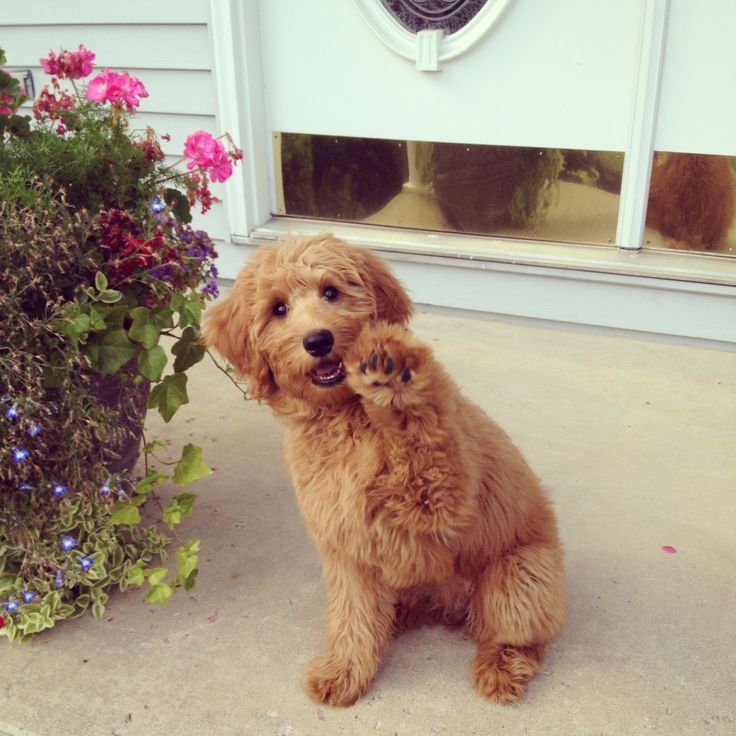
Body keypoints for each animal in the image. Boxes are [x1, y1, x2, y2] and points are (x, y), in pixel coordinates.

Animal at [204, 236, 568, 708]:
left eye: (331, 291)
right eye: (278, 308)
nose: (317, 340)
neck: (345, 420)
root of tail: (452, 607)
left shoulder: (442, 499)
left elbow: (425, 436)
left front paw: (394, 379)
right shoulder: (346, 549)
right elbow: (352, 617)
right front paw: (345, 672)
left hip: (519, 575)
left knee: (519, 634)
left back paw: (501, 666)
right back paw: (399, 618)